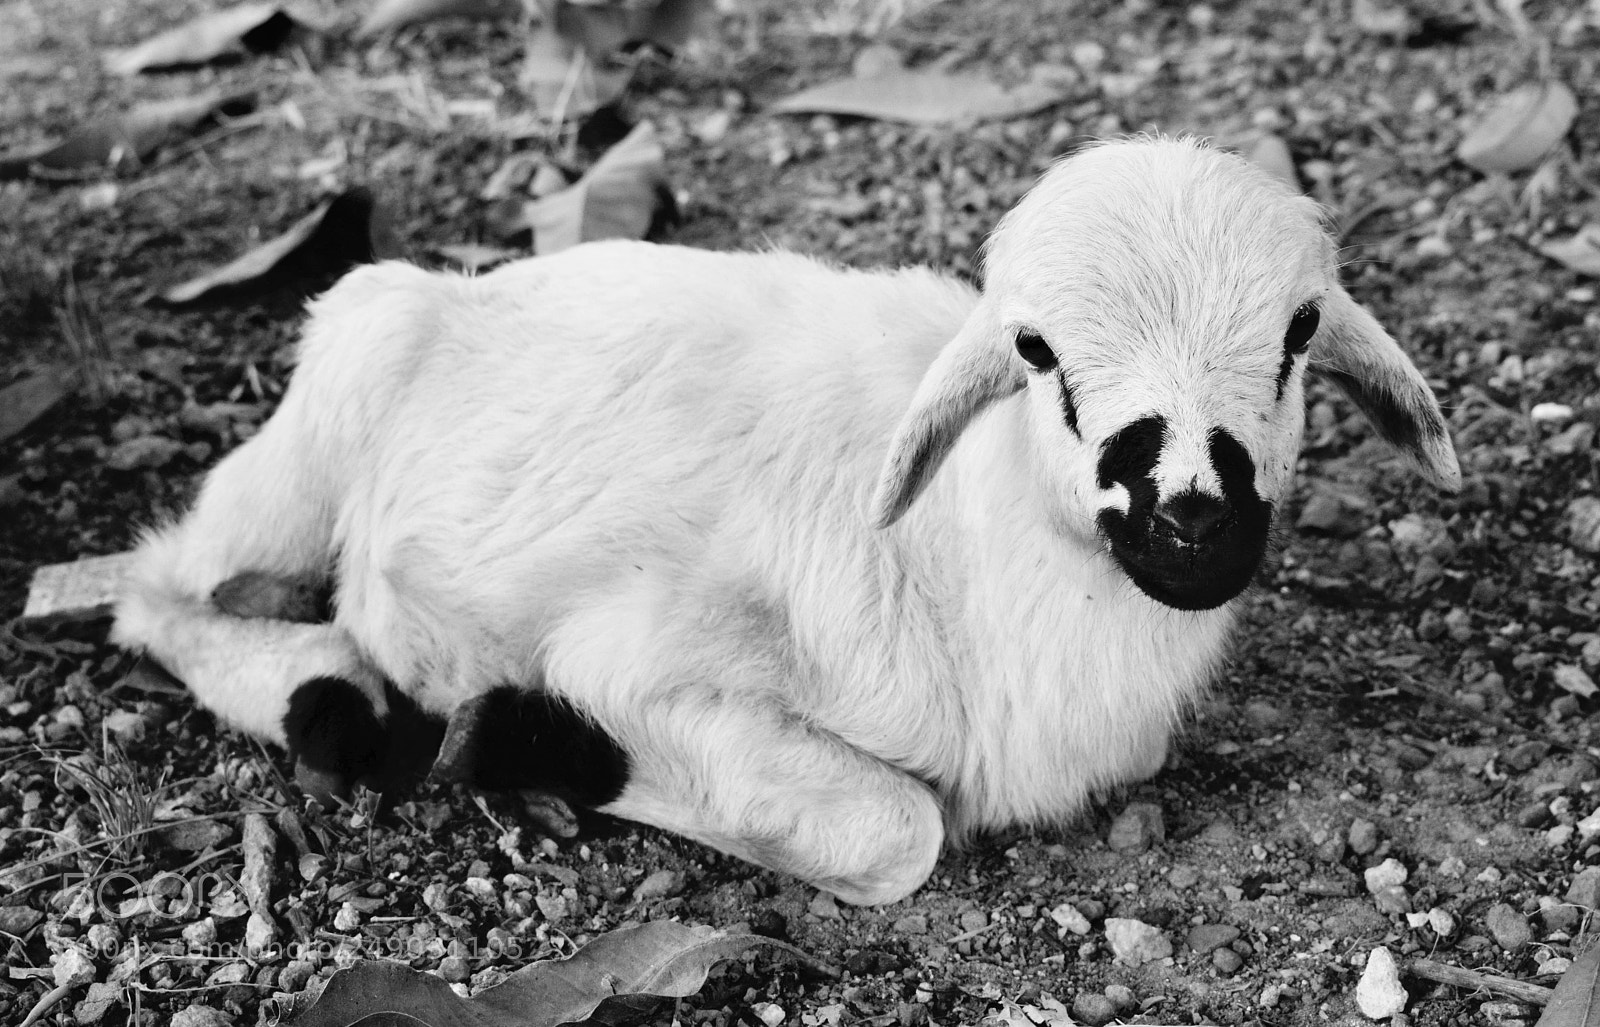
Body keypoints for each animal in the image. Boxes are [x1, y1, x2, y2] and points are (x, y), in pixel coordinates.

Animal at [112, 137, 1461, 905]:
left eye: (1300, 330)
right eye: (1034, 350)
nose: (1192, 521)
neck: (964, 558)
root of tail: (456, 286)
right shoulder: (640, 659)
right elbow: (893, 829)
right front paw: (511, 738)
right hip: (317, 427)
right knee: (154, 590)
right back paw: (338, 705)